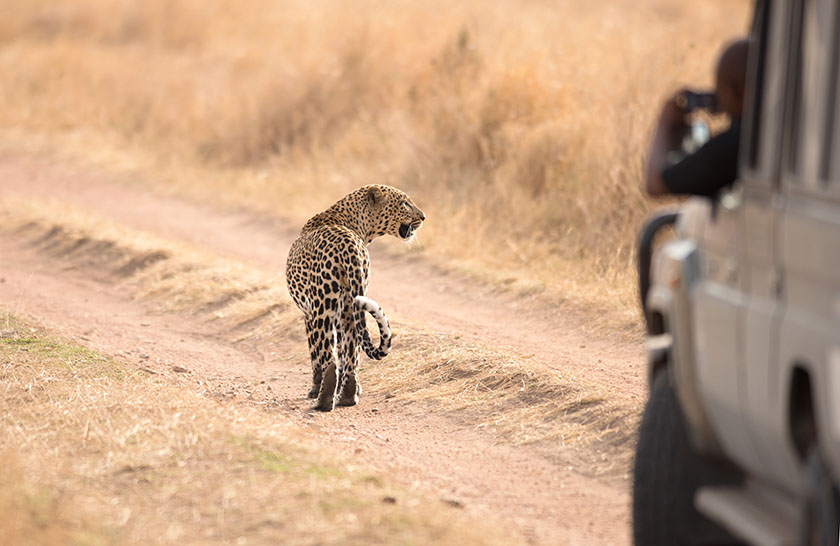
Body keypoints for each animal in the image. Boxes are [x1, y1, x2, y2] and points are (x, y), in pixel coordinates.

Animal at [286, 183, 426, 408]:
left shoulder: (308, 314)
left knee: (329, 358)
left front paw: (314, 388)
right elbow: (345, 352)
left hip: (322, 308)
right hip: (350, 306)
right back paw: (348, 395)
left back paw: (322, 401)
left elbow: (314, 353)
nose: (423, 217)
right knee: (351, 353)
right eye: (405, 203)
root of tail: (348, 244)